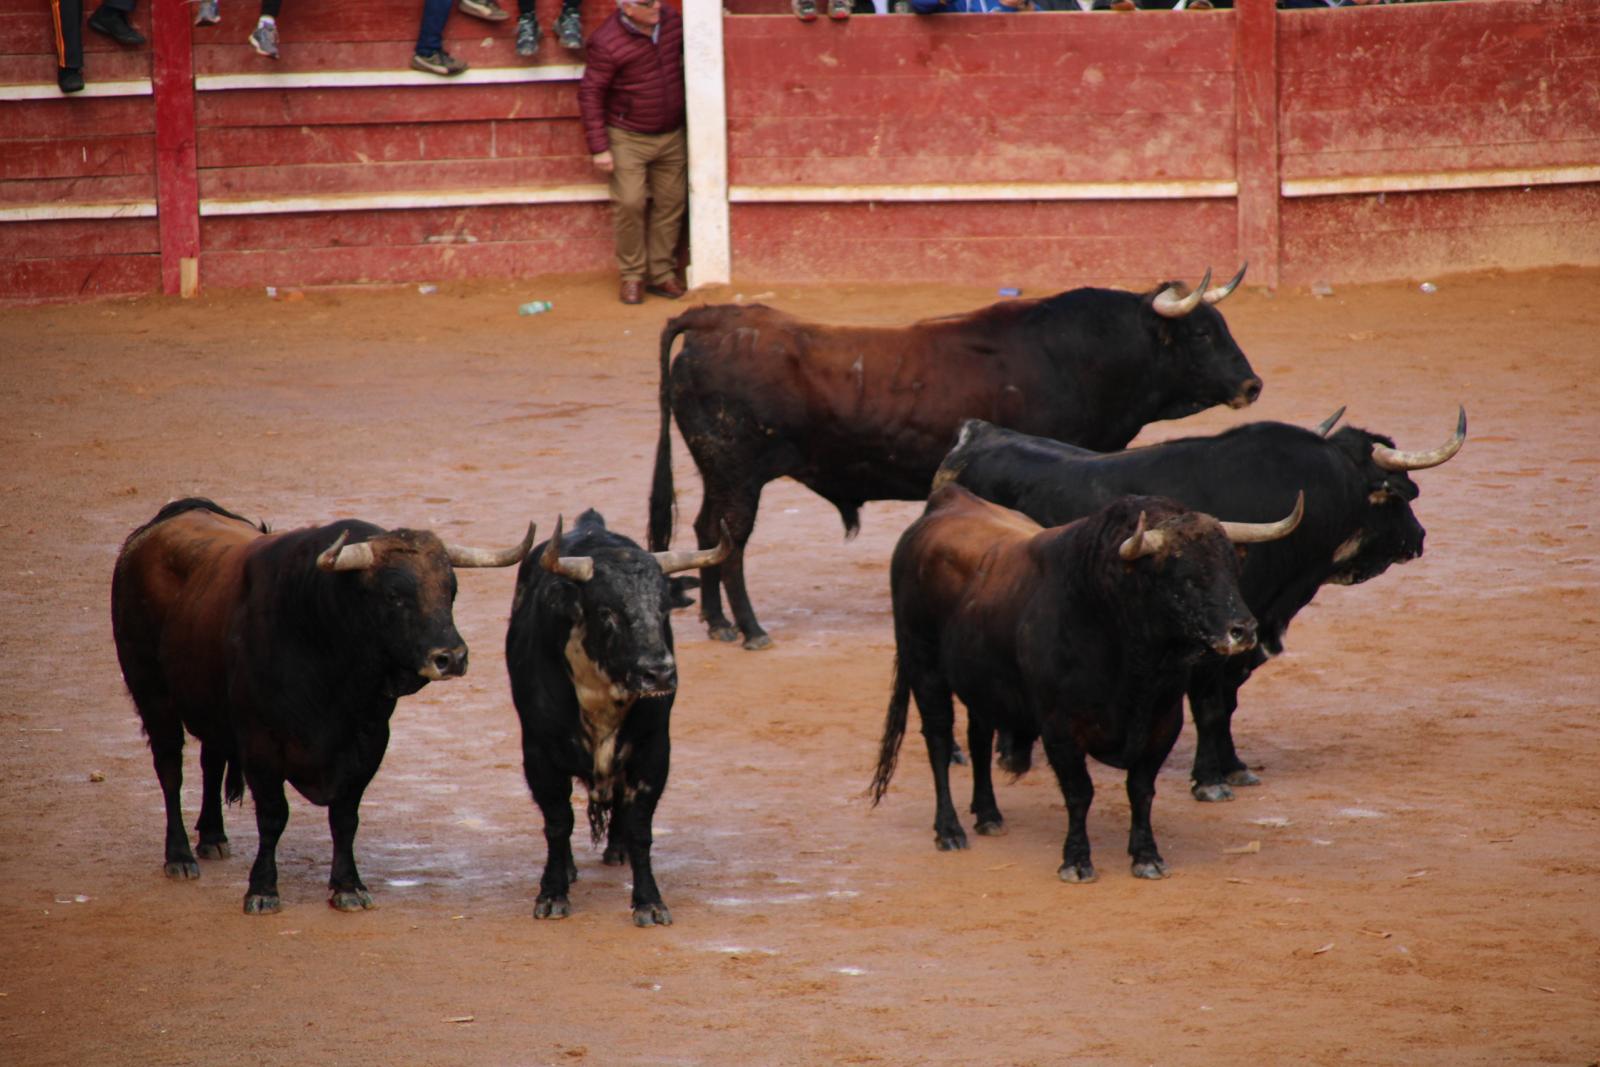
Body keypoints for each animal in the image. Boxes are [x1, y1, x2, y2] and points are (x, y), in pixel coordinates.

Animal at [502, 511, 729, 927]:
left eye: (663, 609)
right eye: (608, 612)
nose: (659, 673)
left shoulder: (653, 751)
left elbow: (640, 826)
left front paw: (649, 901)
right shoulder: (539, 754)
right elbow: (557, 822)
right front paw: (552, 892)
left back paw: (617, 850)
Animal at [649, 267, 1260, 652]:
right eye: (1201, 333)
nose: (1252, 385)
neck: (1078, 355)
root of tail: (713, 321)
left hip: (719, 471)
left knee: (706, 531)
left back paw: (717, 623)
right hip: (738, 474)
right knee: (732, 541)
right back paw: (751, 630)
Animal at [934, 409, 1465, 799]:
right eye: (1397, 496)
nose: (1419, 537)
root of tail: (972, 439)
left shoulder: (1243, 636)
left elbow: (1226, 706)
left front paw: (1233, 767)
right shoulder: (1212, 643)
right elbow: (1210, 708)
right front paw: (1209, 780)